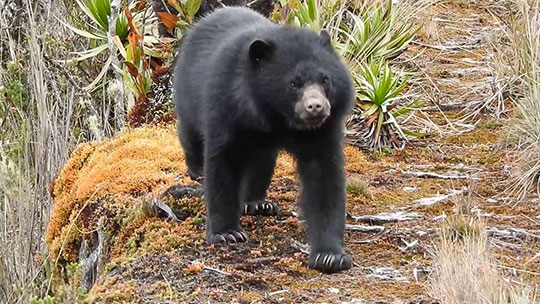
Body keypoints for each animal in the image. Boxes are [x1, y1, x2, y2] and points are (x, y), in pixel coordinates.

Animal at [173, 6, 356, 274]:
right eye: (293, 83)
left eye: (325, 80)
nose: (316, 107)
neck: (276, 117)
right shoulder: (226, 106)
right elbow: (222, 164)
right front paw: (226, 233)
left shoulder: (321, 132)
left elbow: (324, 179)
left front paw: (330, 256)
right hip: (187, 94)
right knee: (191, 133)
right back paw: (196, 170)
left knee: (261, 164)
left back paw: (257, 203)